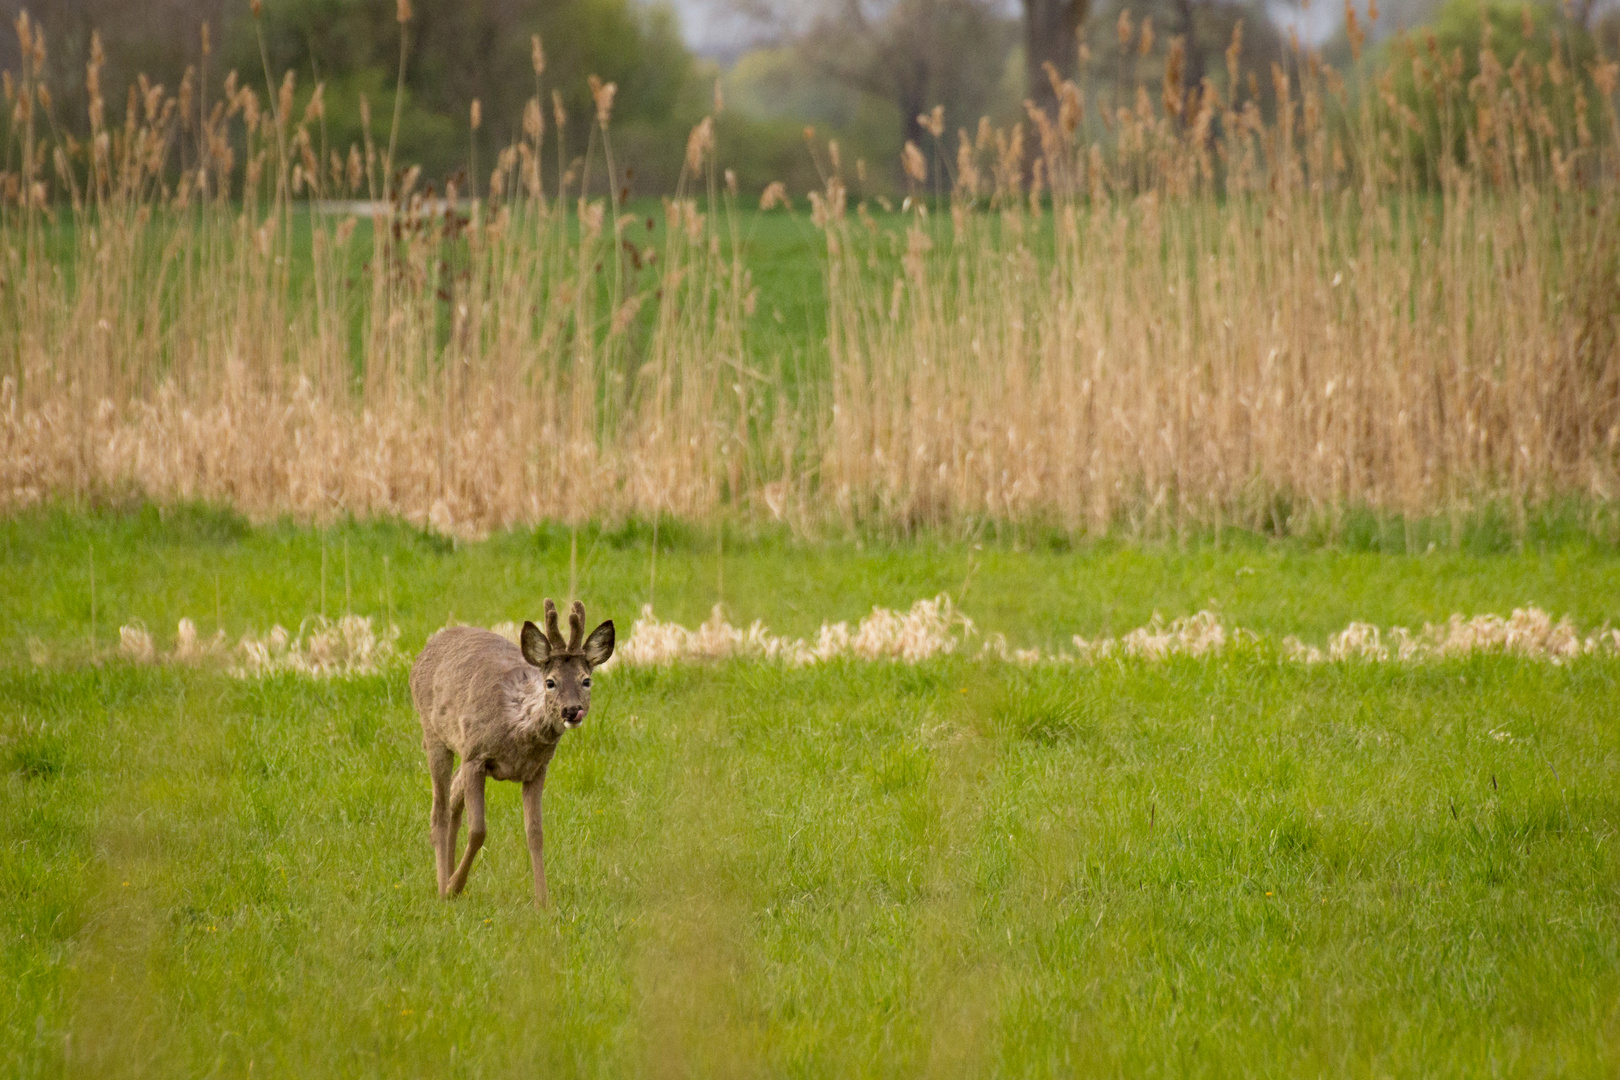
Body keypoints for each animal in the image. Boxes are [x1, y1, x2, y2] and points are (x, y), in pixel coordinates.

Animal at [411, 599, 612, 906]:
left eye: (586, 680)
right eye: (550, 681)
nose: (572, 710)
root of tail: (425, 650)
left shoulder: (537, 770)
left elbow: (535, 833)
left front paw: (543, 901)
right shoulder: (476, 756)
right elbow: (478, 830)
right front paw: (455, 885)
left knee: (453, 797)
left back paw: (448, 875)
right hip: (434, 735)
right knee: (439, 811)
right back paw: (443, 886)